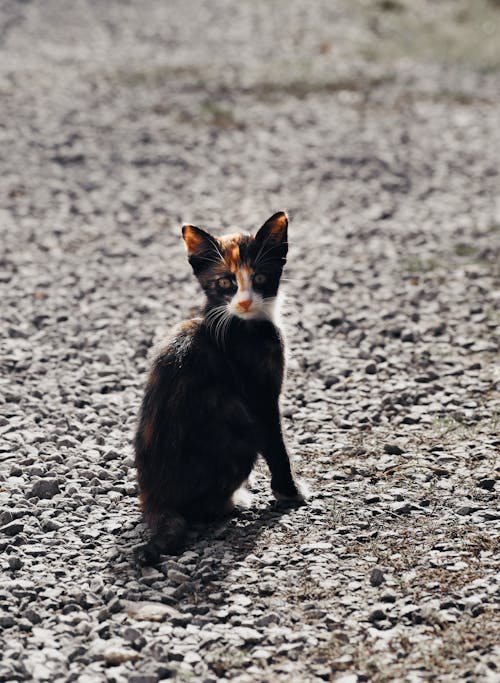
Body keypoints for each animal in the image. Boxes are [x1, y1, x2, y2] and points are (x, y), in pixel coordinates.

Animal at [135, 211, 302, 560]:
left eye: (260, 278)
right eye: (226, 283)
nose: (244, 302)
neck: (239, 322)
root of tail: (156, 503)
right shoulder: (260, 394)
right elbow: (276, 444)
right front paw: (290, 493)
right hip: (238, 430)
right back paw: (234, 502)